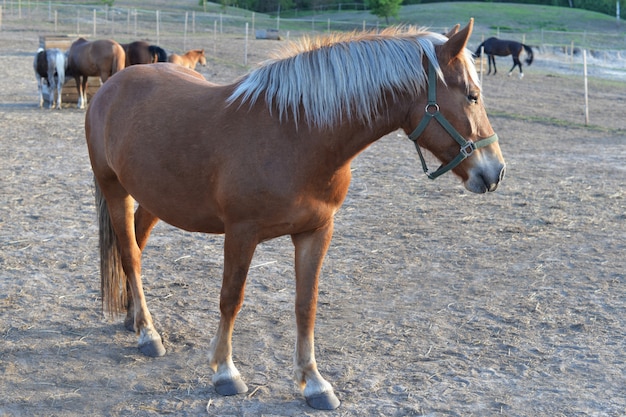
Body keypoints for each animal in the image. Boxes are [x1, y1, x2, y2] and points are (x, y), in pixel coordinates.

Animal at [84, 20, 502, 410]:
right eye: (472, 96)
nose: (495, 171)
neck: (298, 135)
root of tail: (113, 84)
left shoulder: (316, 231)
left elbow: (306, 304)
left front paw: (314, 382)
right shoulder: (241, 232)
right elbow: (231, 298)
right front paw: (225, 371)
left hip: (154, 198)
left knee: (135, 246)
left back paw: (133, 318)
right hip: (114, 188)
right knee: (130, 255)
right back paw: (148, 334)